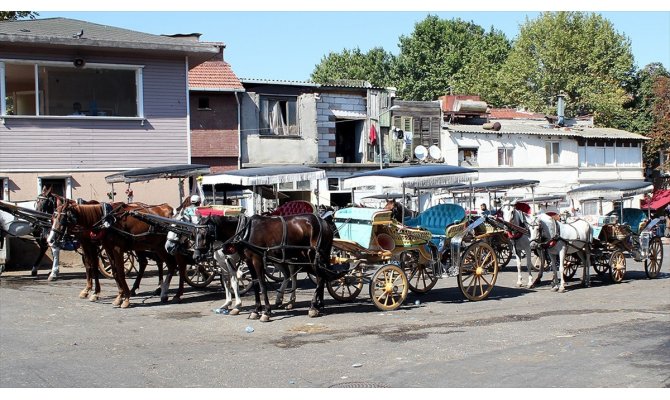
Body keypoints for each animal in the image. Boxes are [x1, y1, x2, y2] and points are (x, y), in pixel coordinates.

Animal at [47, 202, 185, 308]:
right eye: (53, 218)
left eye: (62, 219)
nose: (51, 240)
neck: (106, 221)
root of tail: (169, 208)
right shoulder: (106, 248)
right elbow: (112, 272)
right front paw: (119, 296)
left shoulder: (115, 249)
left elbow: (119, 272)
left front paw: (125, 299)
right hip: (158, 246)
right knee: (169, 265)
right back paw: (163, 292)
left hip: (171, 245)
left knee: (179, 265)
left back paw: (176, 294)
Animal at [194, 212, 336, 322]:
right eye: (195, 233)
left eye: (204, 232)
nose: (196, 256)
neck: (245, 232)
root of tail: (324, 222)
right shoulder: (249, 261)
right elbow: (255, 284)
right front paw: (256, 310)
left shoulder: (257, 260)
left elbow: (262, 285)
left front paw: (266, 312)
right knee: (319, 276)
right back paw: (318, 305)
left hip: (313, 256)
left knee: (319, 278)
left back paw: (313, 306)